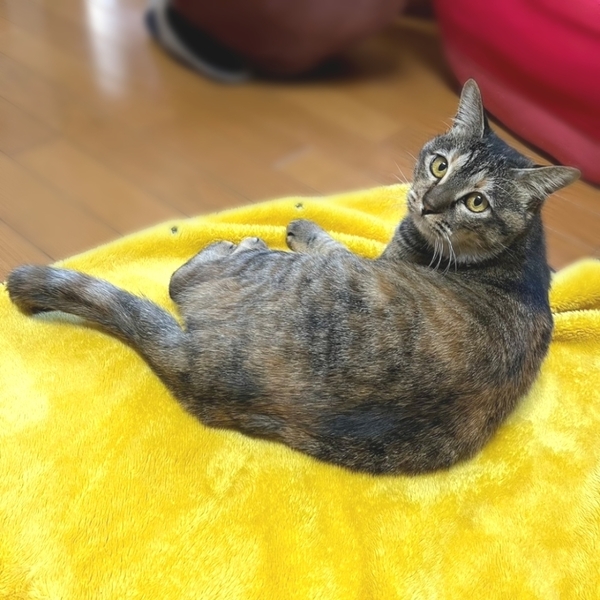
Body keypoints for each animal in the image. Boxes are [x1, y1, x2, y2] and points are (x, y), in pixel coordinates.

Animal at [6, 80, 579, 475]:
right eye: (440, 165)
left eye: (476, 201)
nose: (427, 202)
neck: (519, 255)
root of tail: (199, 362)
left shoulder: (367, 258)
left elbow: (328, 240)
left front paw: (301, 224)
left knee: (181, 277)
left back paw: (238, 243)